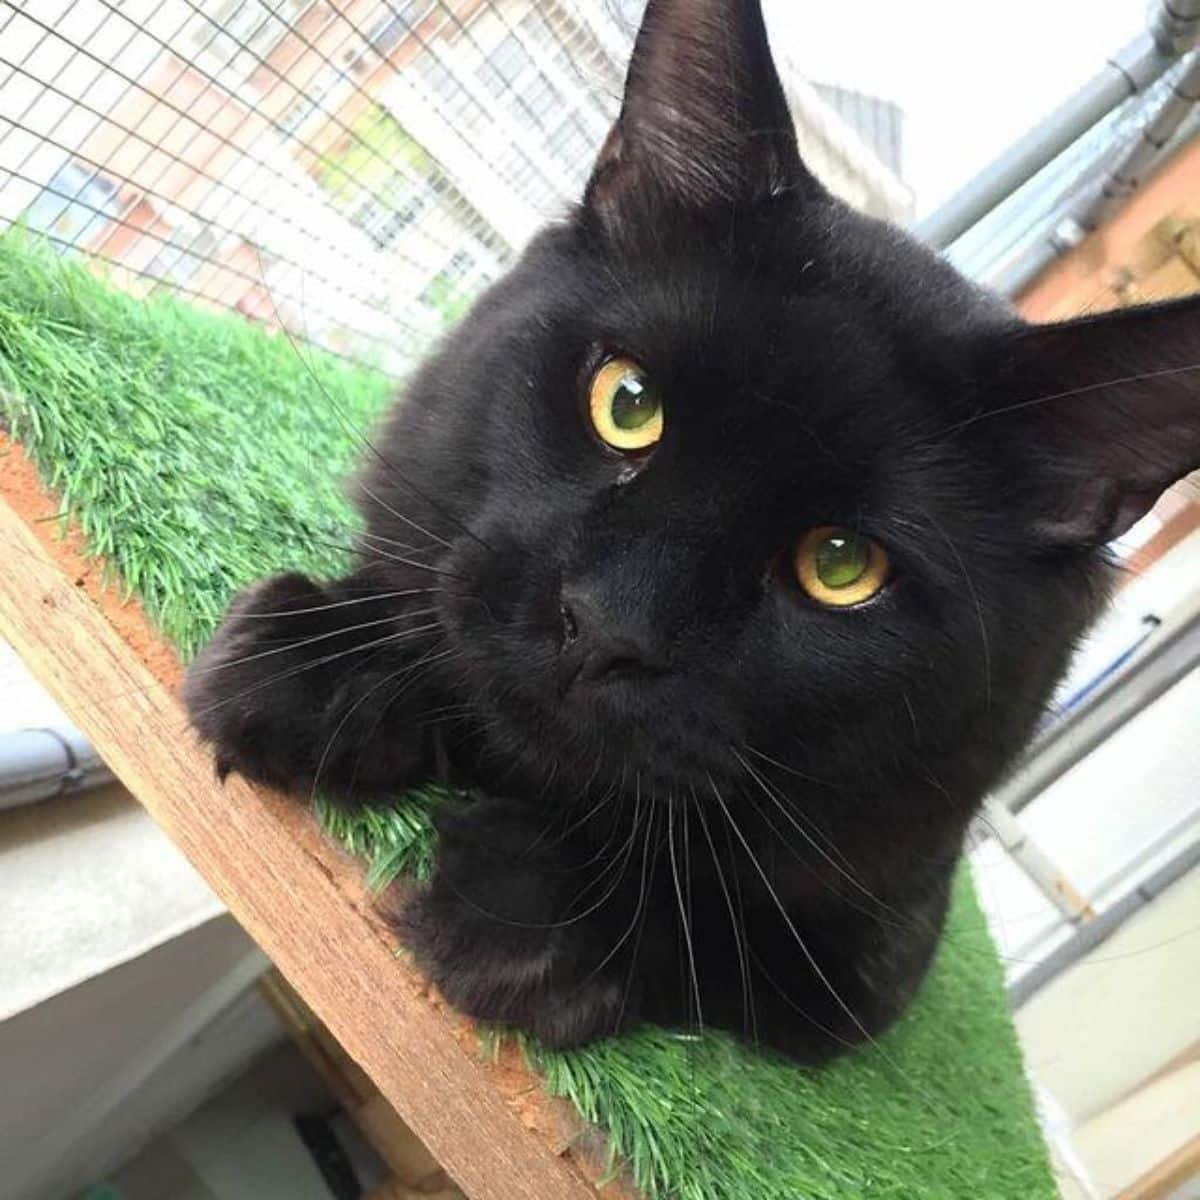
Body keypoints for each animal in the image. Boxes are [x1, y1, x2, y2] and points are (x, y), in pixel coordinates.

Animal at [184, 0, 1200, 1065]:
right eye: (628, 404)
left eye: (842, 565)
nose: (604, 626)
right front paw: (322, 663)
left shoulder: (870, 955)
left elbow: (717, 926)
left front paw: (525, 896)